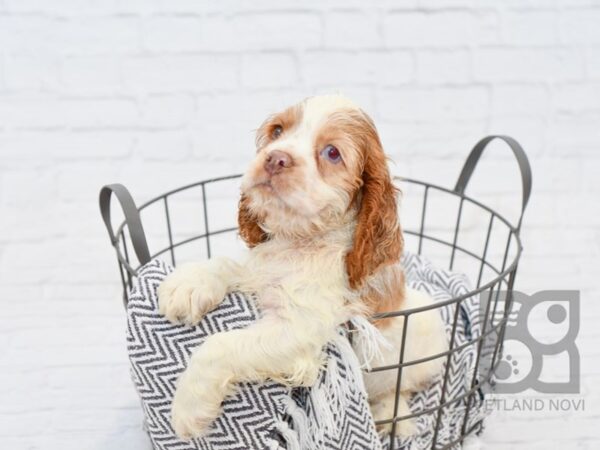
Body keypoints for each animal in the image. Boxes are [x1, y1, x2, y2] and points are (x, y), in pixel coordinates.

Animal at [157, 94, 448, 440]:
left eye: (332, 153)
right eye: (277, 131)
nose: (275, 159)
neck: (300, 240)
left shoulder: (300, 330)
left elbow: (220, 344)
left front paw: (188, 406)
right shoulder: (261, 269)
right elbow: (227, 263)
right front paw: (188, 285)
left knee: (399, 391)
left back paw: (393, 418)